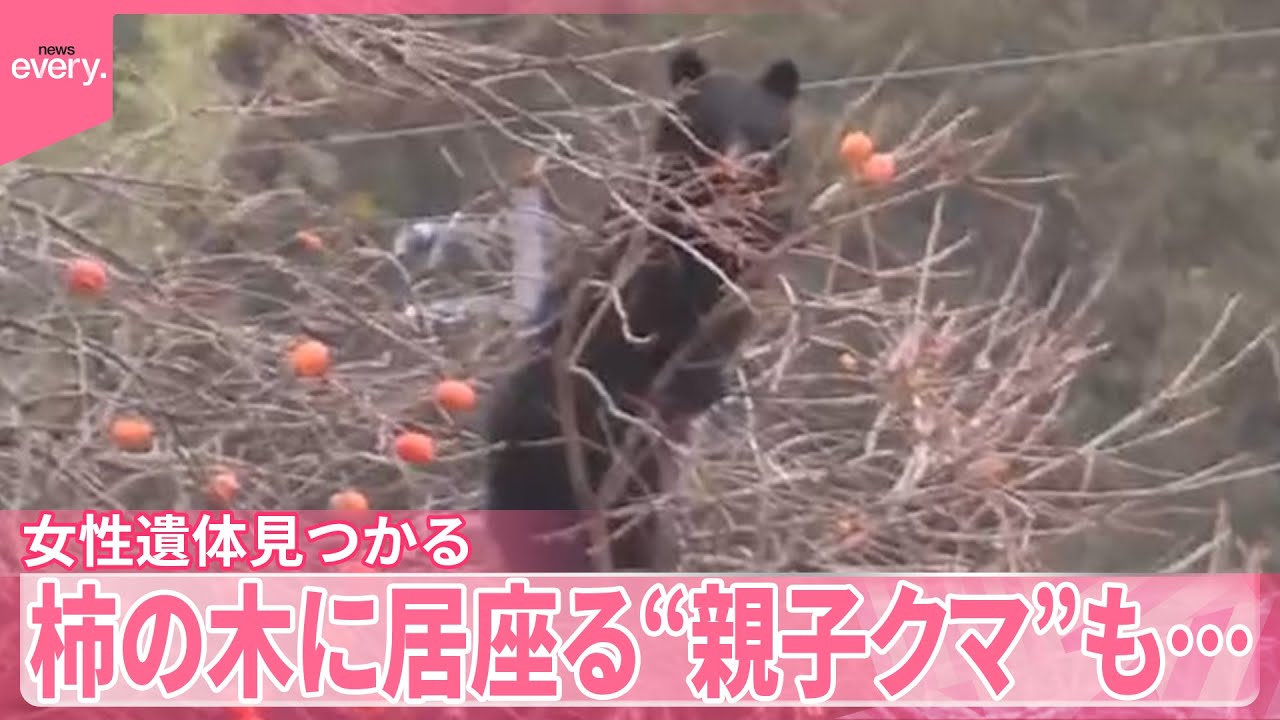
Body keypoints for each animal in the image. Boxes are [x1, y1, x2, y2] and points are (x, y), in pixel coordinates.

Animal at [483, 47, 801, 573]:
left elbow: (730, 316)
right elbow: (648, 303)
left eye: (758, 132)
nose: (730, 175)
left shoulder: (759, 249)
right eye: (706, 128)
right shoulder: (642, 240)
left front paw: (702, 380)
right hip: (537, 430)